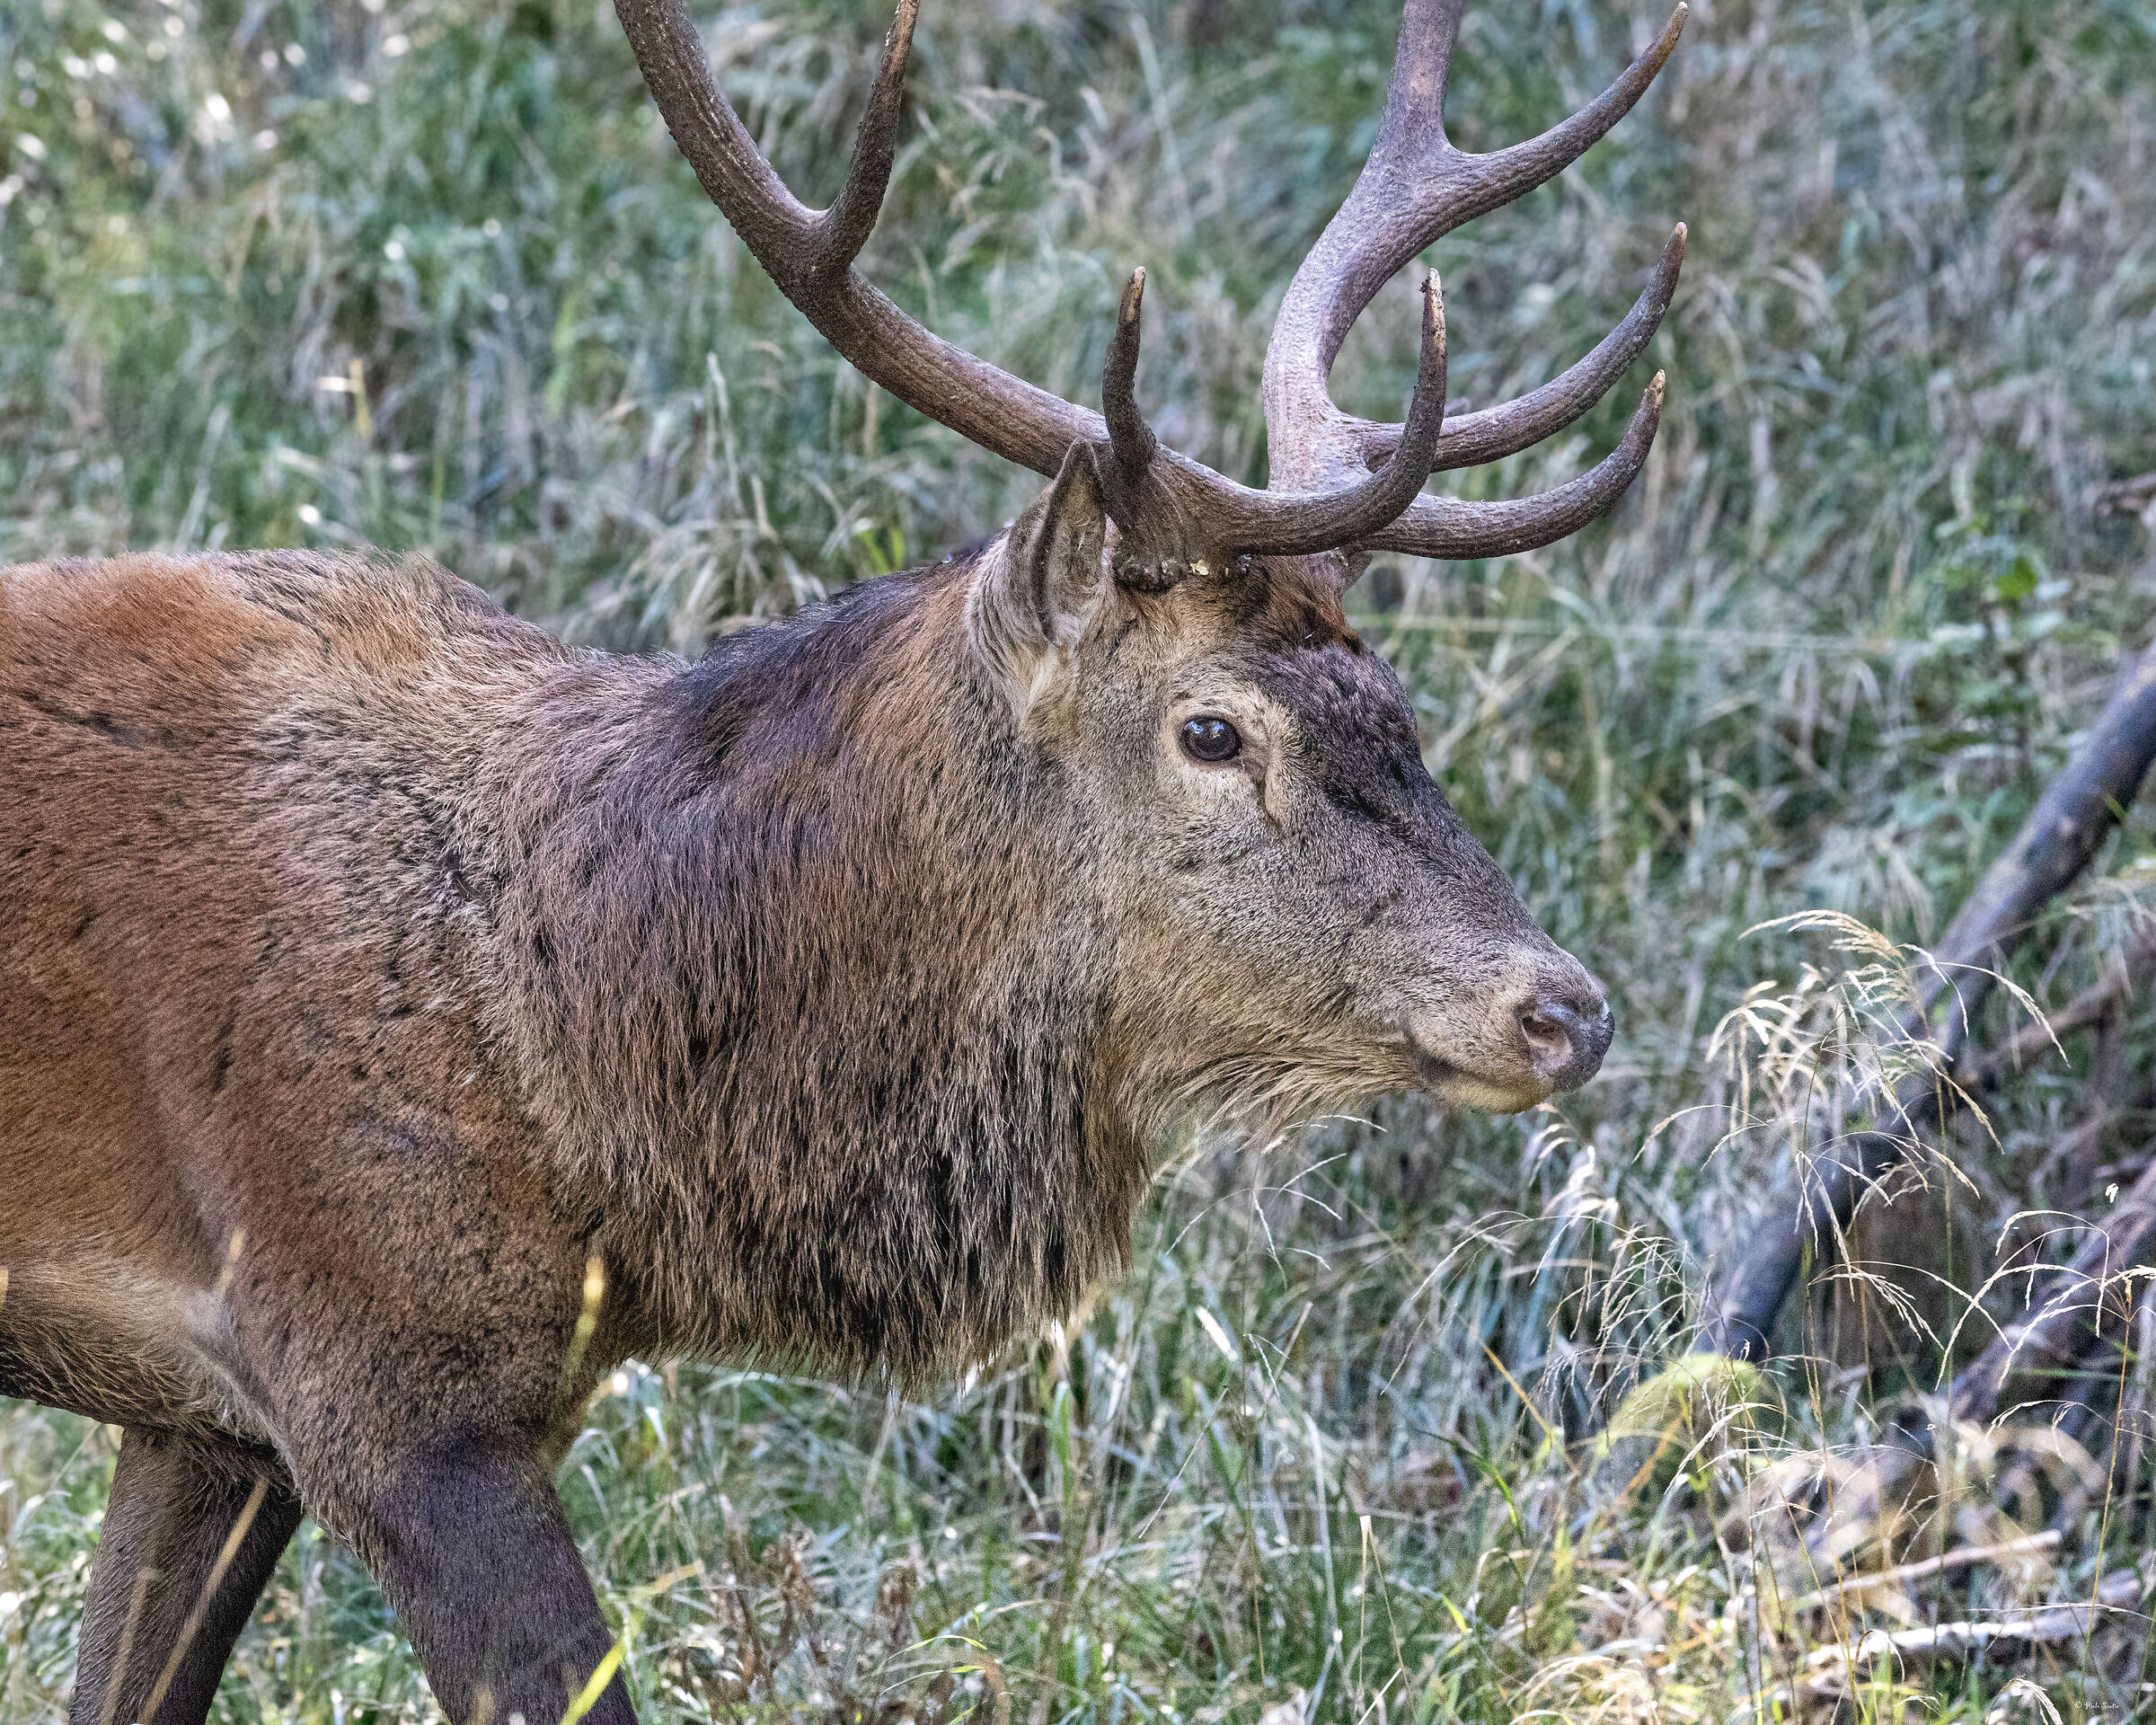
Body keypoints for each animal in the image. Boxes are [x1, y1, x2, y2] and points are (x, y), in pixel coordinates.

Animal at [0, 0, 1685, 1719]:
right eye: (1213, 731)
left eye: (1399, 704)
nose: (1561, 1007)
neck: (577, 1072)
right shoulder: (386, 1379)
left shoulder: (218, 1422)